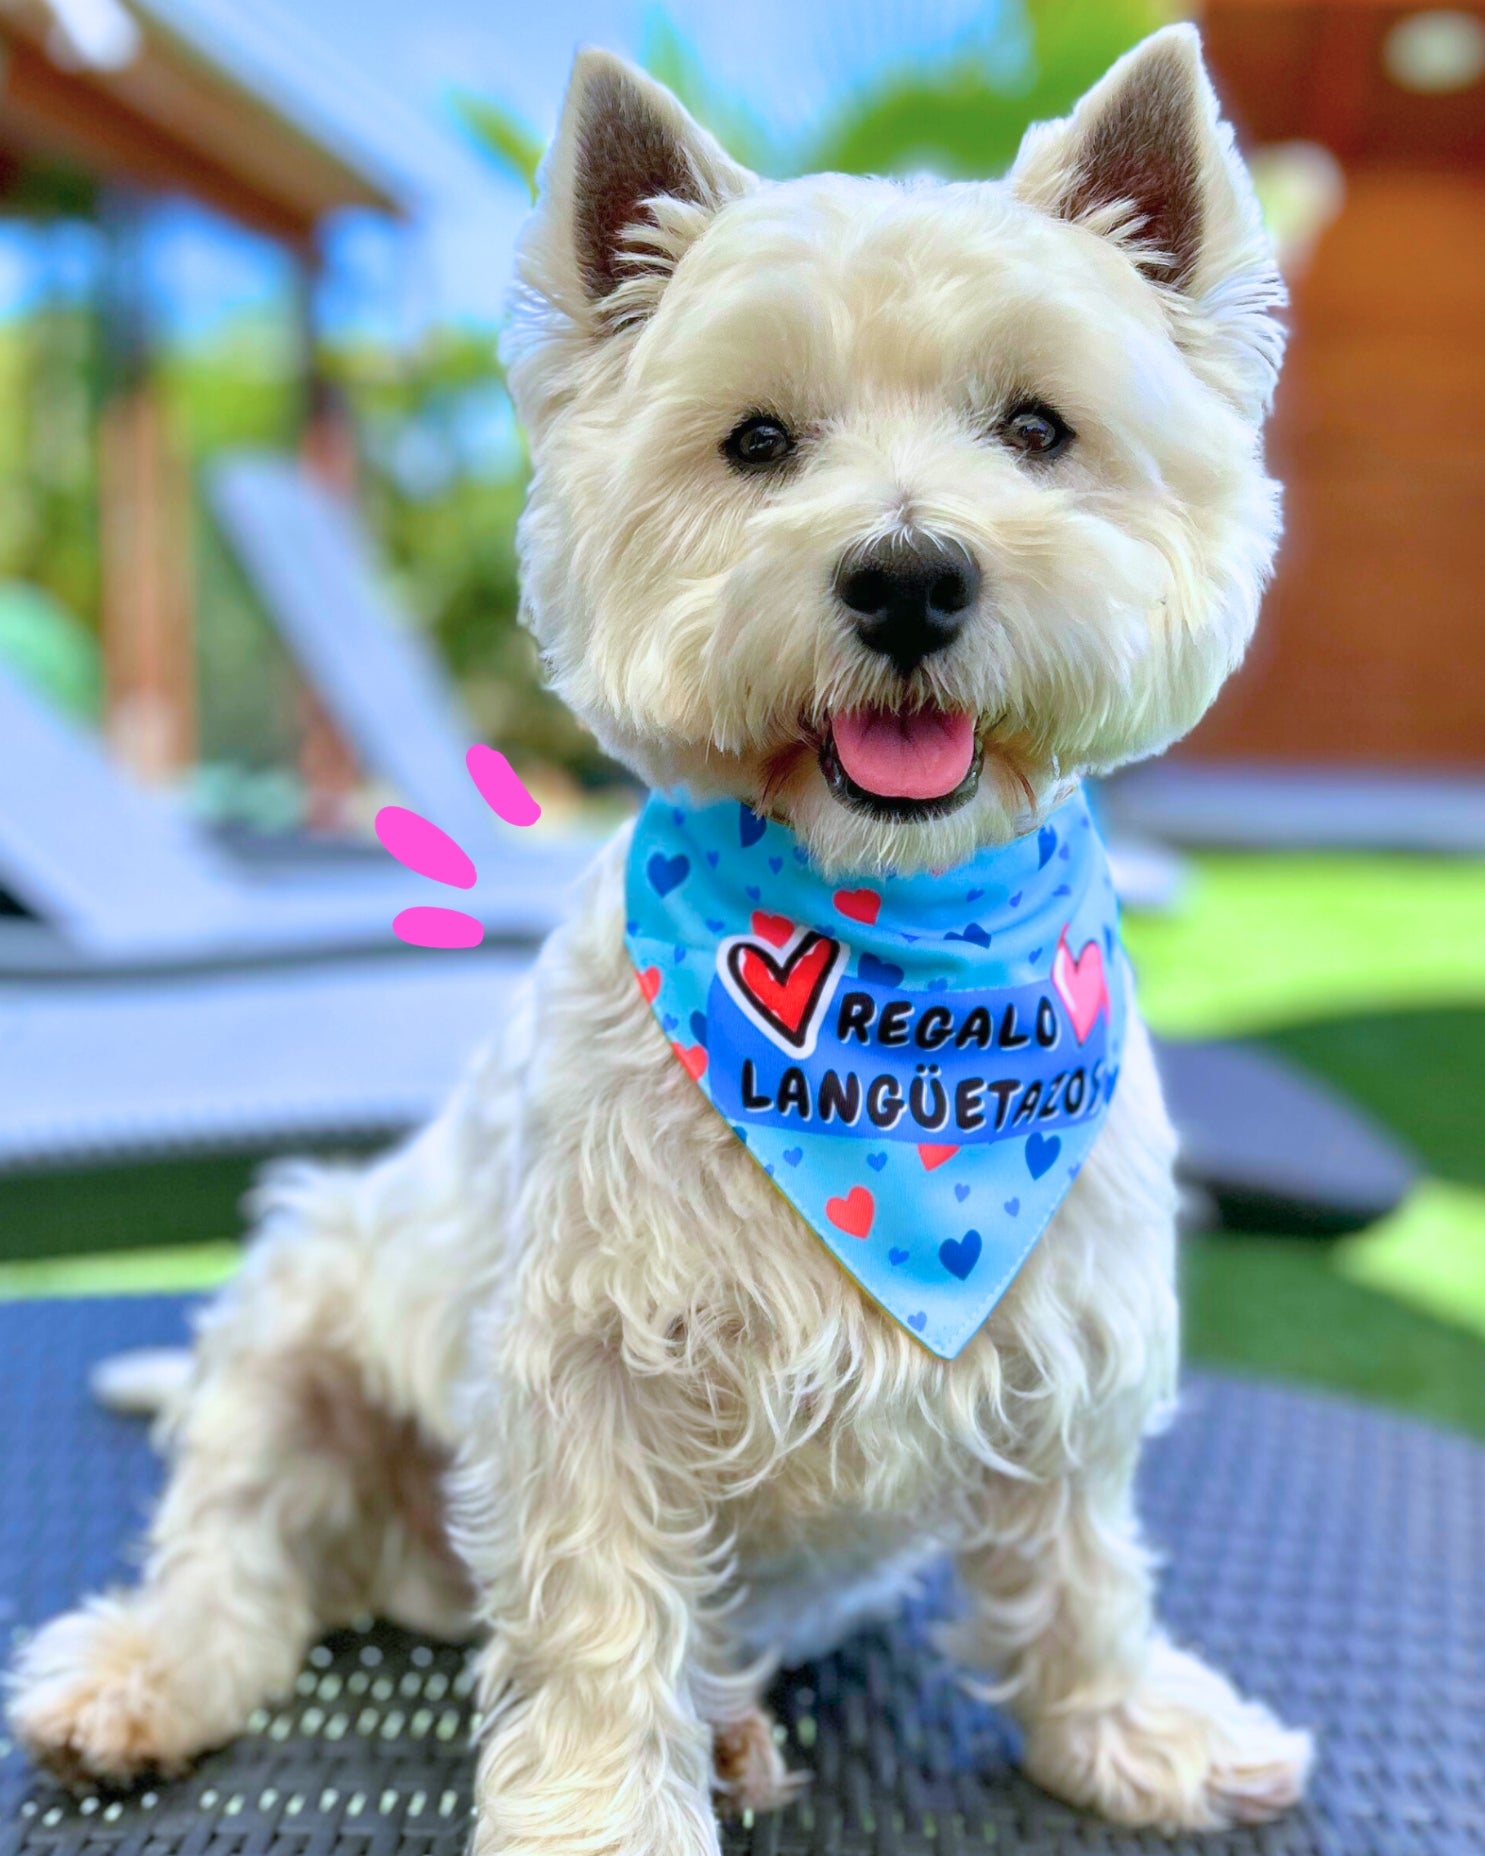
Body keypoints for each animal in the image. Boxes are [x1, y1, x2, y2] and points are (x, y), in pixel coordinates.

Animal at [9, 26, 1313, 1851]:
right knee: (239, 1552)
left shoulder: (1071, 1339)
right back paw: (142, 1678)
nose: (907, 577)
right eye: (755, 439)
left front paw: (1131, 1731)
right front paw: (597, 1816)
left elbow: (1078, 1567)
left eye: (1038, 427)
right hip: (298, 1320)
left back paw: (741, 1724)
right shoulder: (587, 1370)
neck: (885, 950)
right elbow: (597, 1616)